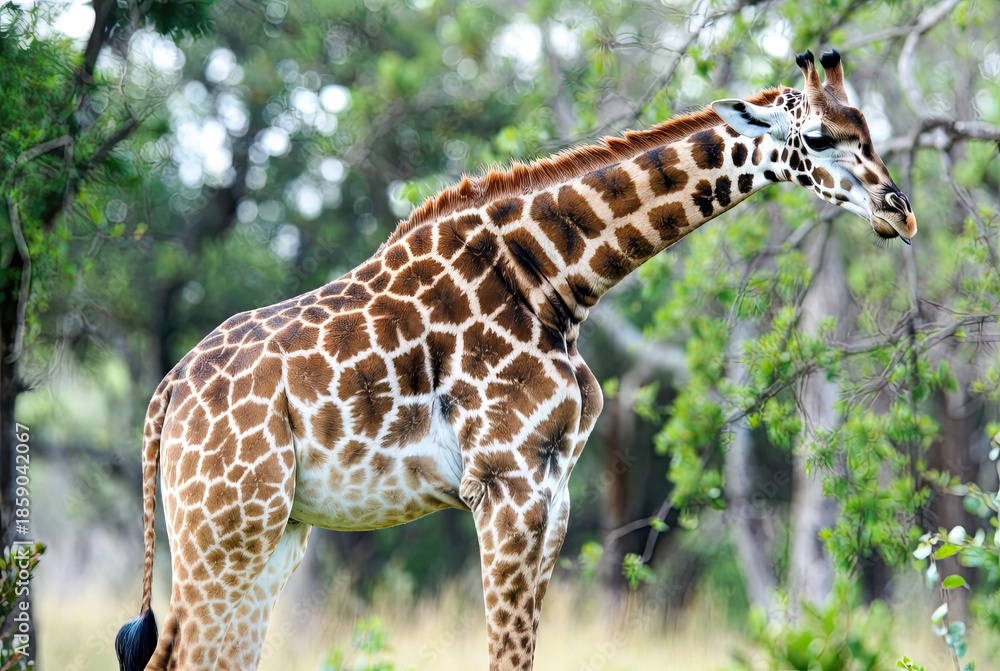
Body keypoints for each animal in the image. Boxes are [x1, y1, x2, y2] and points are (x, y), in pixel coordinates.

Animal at [116, 49, 915, 671]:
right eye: (820, 136)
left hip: (270, 531)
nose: (900, 213)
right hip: (225, 527)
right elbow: (505, 652)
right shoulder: (502, 481)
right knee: (176, 653)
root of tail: (165, 394)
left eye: (870, 130)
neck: (555, 280)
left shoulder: (552, 489)